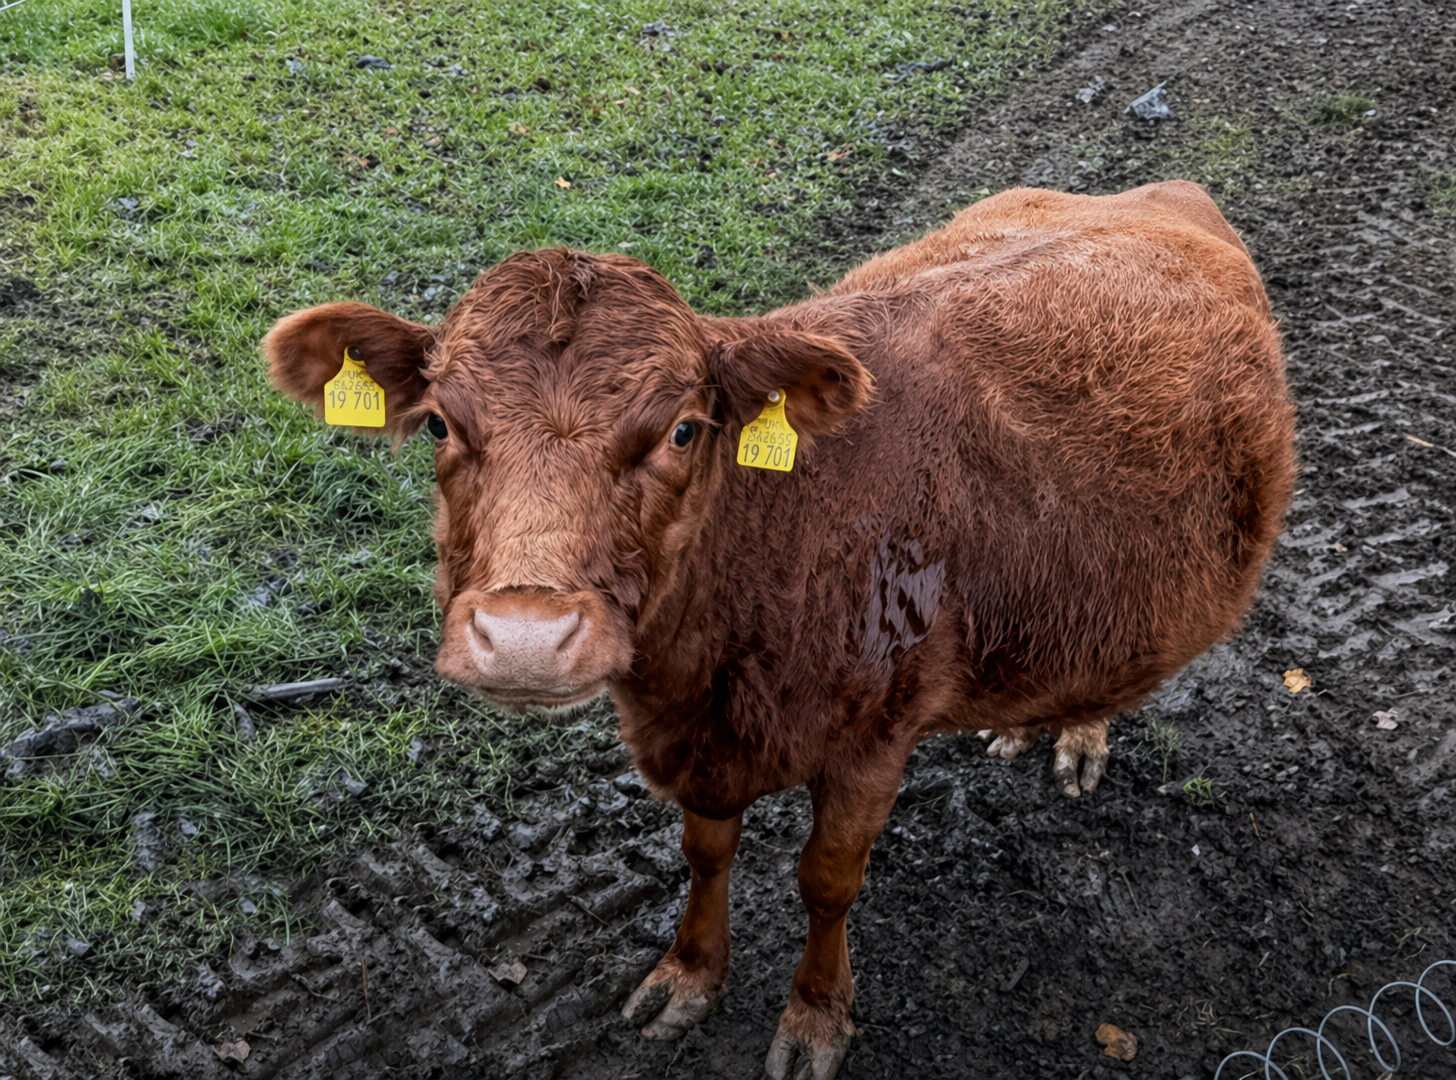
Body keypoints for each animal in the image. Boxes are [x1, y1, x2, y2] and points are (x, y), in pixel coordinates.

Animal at [264, 181, 1295, 1080]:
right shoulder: (707, 740)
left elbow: (826, 880)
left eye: (683, 430)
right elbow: (704, 852)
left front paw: (815, 1017)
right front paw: (687, 975)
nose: (524, 634)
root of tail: (1156, 194)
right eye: (441, 424)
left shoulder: (875, 739)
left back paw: (1077, 732)